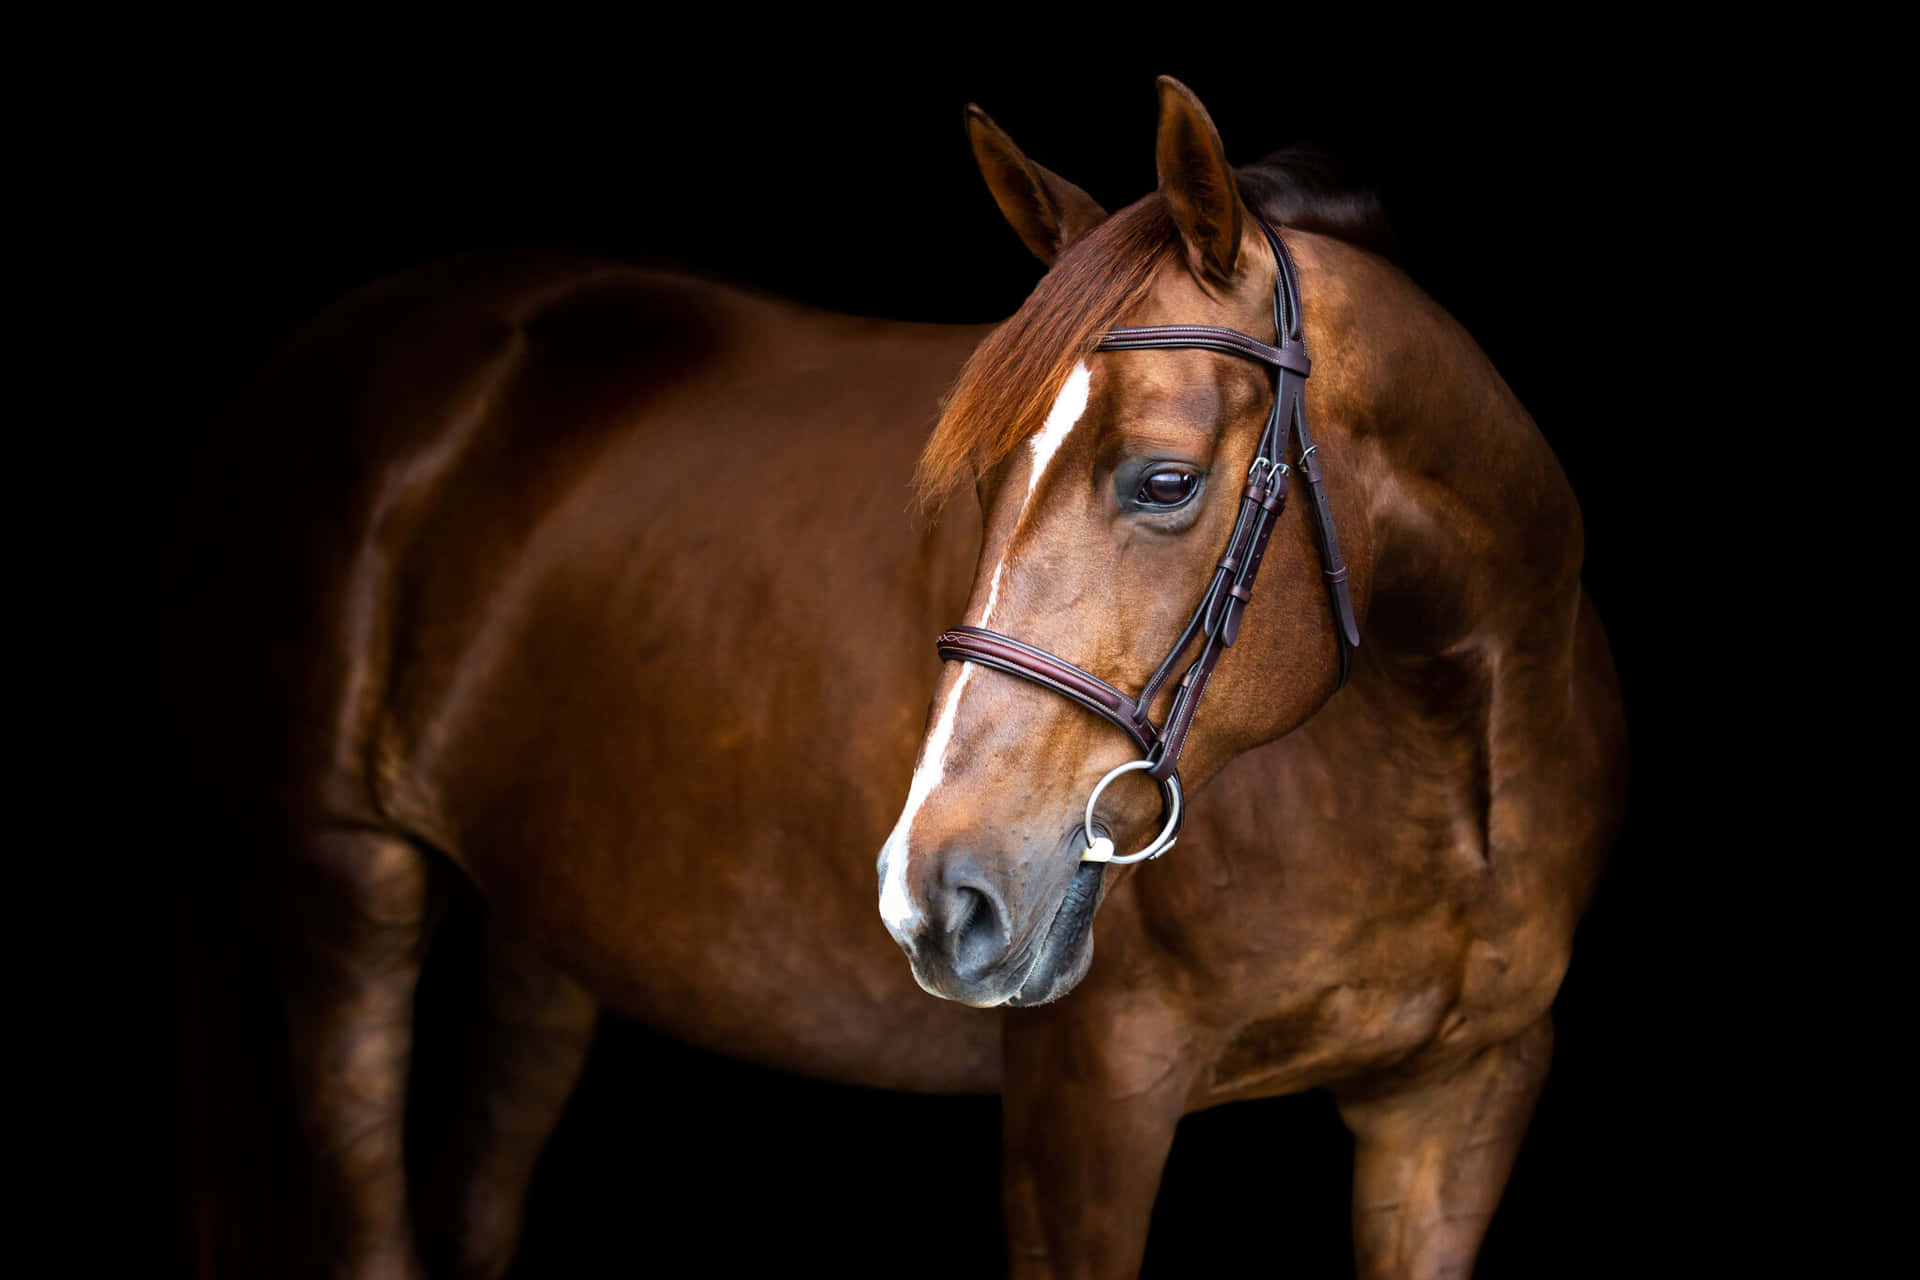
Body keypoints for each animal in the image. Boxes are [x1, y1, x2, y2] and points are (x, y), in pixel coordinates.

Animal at [172, 80, 1628, 1280]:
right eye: (978, 485)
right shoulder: (1087, 1104)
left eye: (1164, 480)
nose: (933, 895)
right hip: (343, 895)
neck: (1447, 758)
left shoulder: (1464, 1101)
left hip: (541, 933)